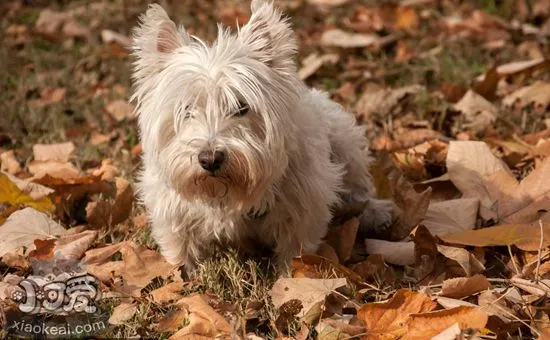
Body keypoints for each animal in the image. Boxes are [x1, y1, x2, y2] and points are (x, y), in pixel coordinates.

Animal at [133, 0, 392, 270]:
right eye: (186, 109)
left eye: (241, 107)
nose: (210, 160)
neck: (226, 193)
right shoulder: (172, 212)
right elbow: (180, 251)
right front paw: (183, 273)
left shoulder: (303, 209)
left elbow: (295, 254)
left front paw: (290, 275)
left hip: (344, 140)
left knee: (358, 187)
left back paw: (376, 213)